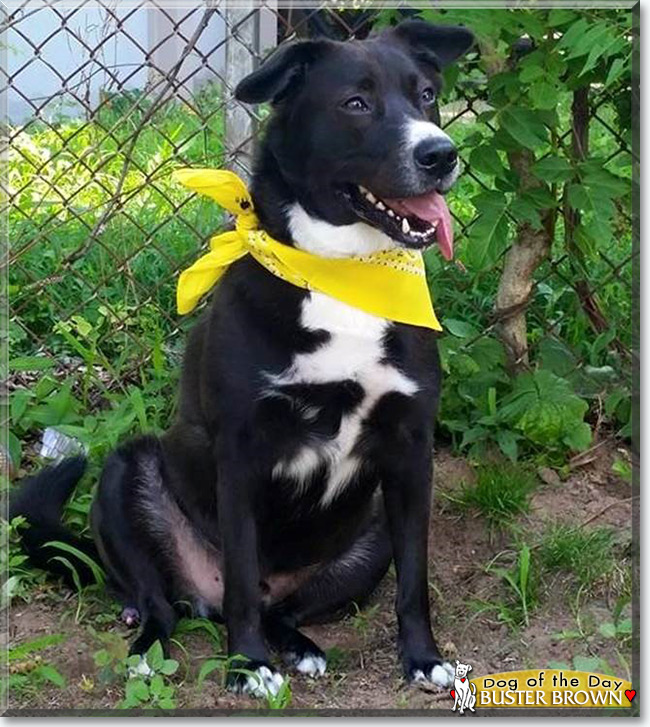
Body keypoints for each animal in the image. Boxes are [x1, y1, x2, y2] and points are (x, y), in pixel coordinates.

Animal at [11, 21, 470, 700]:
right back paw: (151, 644)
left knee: (283, 606)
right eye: (356, 103)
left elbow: (415, 582)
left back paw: (300, 645)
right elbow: (242, 574)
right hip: (126, 473)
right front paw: (248, 664)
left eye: (428, 95)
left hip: (371, 532)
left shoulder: (412, 452)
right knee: (168, 601)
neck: (341, 276)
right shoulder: (242, 451)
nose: (442, 154)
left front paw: (423, 658)